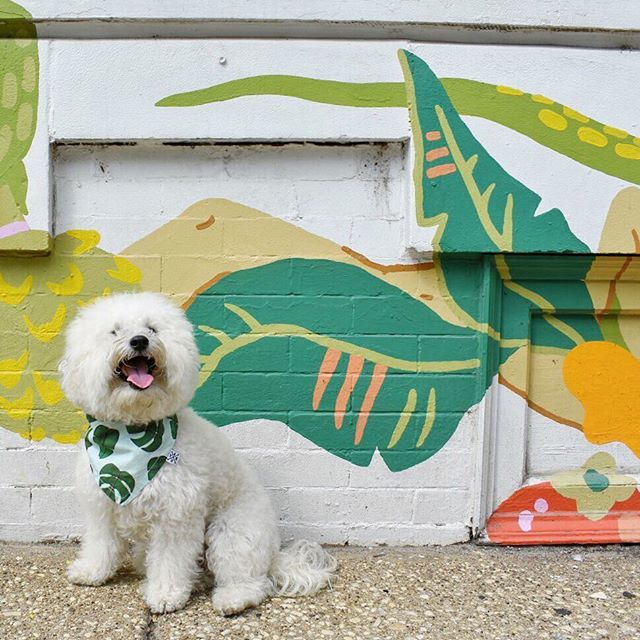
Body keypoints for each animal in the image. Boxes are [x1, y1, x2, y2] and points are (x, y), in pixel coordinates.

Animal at [59, 294, 336, 616]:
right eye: (114, 331)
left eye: (152, 328)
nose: (139, 341)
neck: (132, 432)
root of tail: (274, 556)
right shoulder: (102, 508)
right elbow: (101, 543)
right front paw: (92, 571)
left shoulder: (175, 516)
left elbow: (170, 560)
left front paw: (165, 594)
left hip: (232, 532)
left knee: (251, 581)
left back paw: (233, 598)